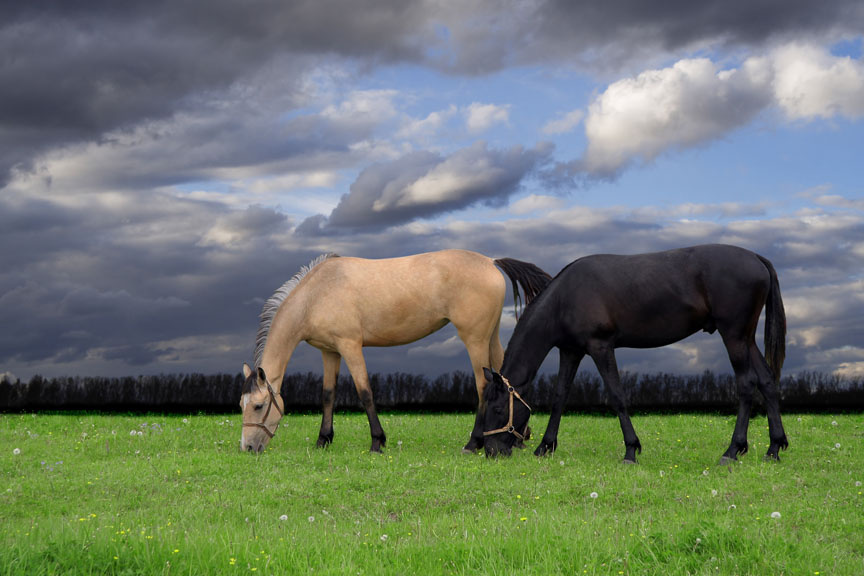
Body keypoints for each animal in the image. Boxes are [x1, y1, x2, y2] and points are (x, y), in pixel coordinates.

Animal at [240, 249, 551, 454]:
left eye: (258, 406)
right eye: (242, 405)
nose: (247, 447)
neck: (316, 294)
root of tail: (490, 261)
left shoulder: (350, 346)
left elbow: (365, 391)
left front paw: (377, 441)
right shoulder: (330, 352)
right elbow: (328, 394)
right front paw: (323, 440)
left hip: (474, 339)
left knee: (483, 385)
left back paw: (473, 443)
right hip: (490, 336)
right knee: (506, 381)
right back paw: (517, 438)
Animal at [482, 244, 788, 464]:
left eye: (497, 409)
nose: (490, 451)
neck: (565, 297)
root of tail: (756, 258)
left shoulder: (600, 347)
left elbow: (616, 395)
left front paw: (631, 450)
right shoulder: (571, 352)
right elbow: (559, 398)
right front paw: (545, 447)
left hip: (733, 336)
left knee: (747, 384)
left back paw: (732, 450)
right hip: (746, 339)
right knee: (766, 381)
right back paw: (773, 448)